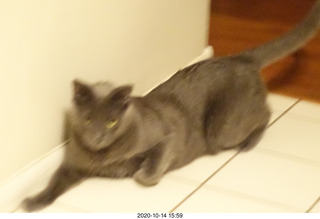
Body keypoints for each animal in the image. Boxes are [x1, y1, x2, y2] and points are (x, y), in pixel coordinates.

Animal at [22, 0, 320, 212]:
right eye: (86, 121)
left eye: (111, 122)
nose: (97, 137)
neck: (103, 156)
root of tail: (239, 58)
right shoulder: (72, 164)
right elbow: (54, 182)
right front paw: (33, 201)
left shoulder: (166, 137)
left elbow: (151, 167)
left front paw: (139, 171)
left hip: (222, 129)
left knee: (265, 113)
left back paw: (249, 143)